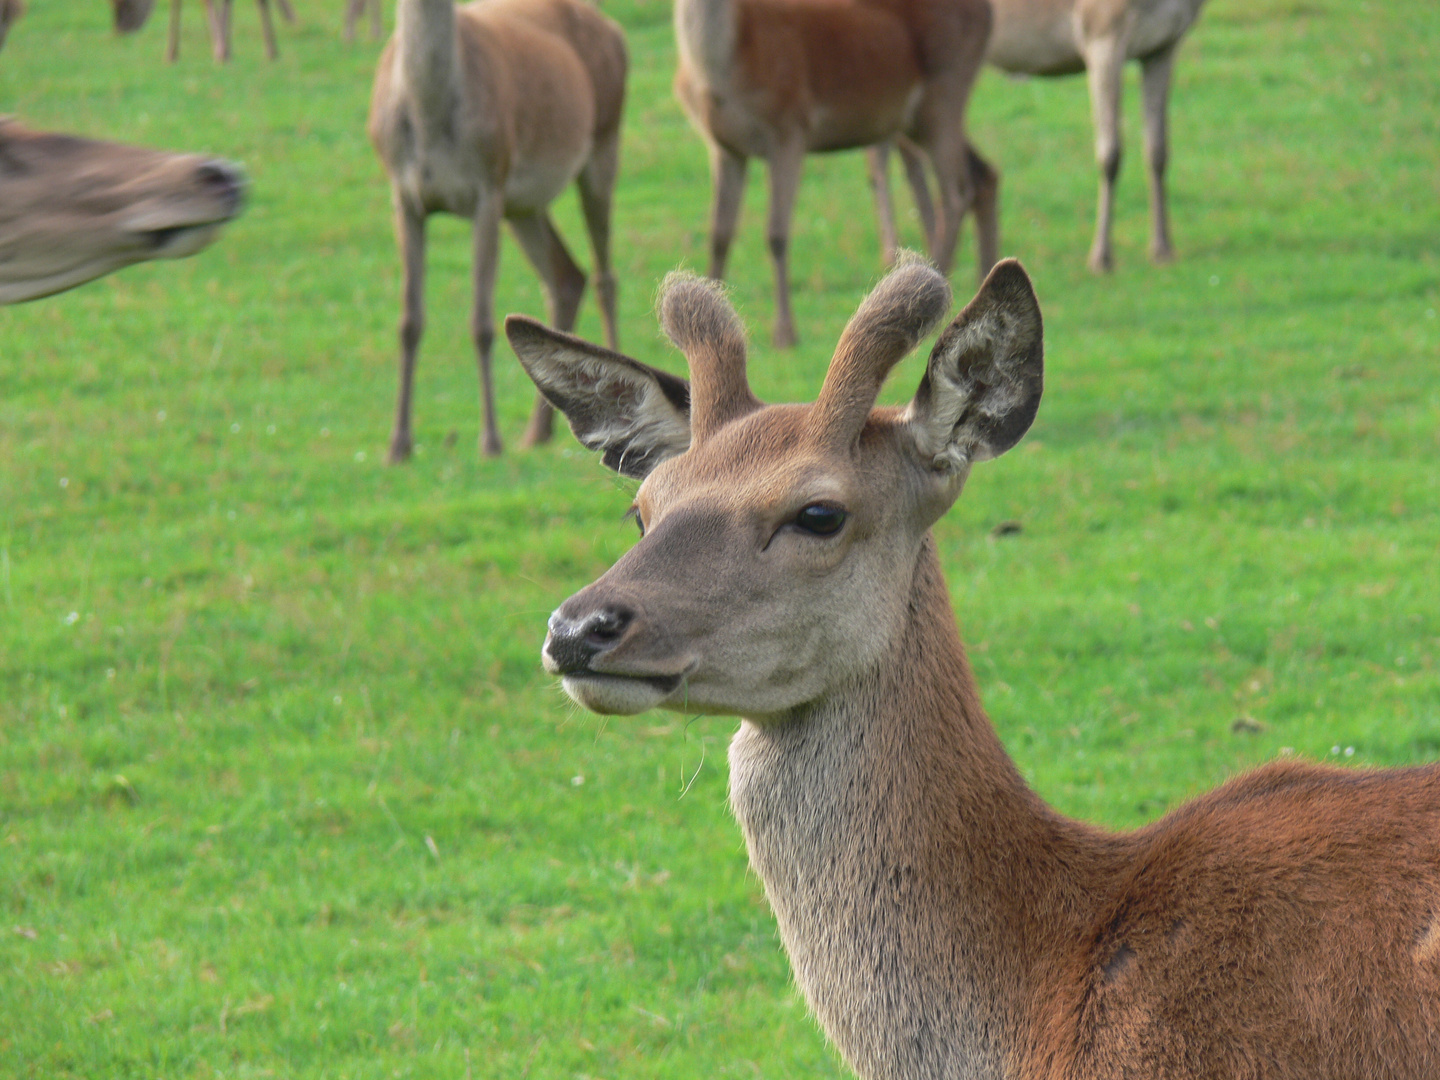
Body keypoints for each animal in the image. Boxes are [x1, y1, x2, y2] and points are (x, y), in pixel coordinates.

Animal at [365, 0, 624, 460]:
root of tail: (614, 30)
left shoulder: (487, 187)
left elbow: (482, 323)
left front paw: (491, 439)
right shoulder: (405, 197)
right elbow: (409, 321)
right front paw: (398, 445)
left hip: (602, 141)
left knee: (603, 276)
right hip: (522, 205)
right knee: (566, 276)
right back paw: (538, 431)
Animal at [676, 0, 1002, 348]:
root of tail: (986, 10)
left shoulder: (790, 128)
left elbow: (776, 234)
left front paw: (785, 333)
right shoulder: (725, 147)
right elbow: (719, 233)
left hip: (945, 92)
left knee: (956, 191)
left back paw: (930, 282)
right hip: (916, 120)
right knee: (984, 173)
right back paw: (982, 279)